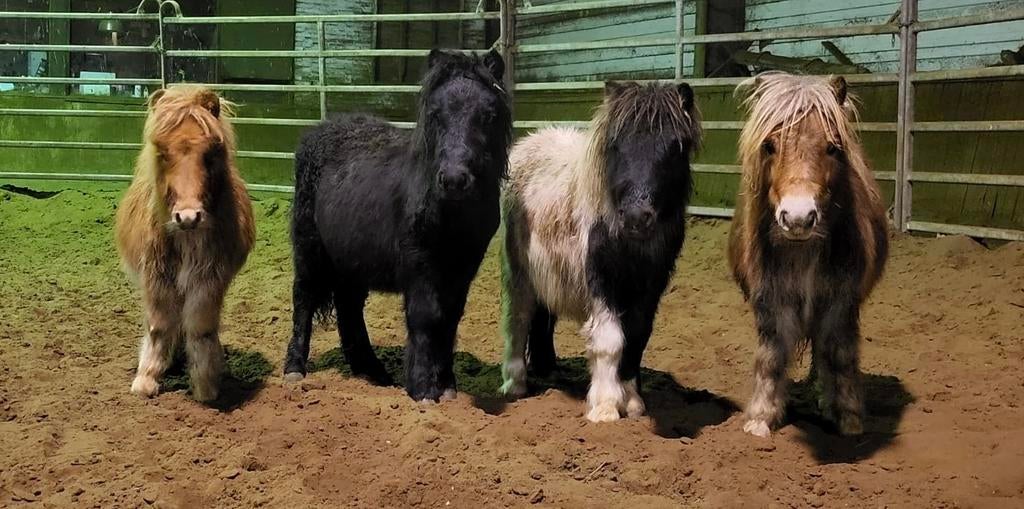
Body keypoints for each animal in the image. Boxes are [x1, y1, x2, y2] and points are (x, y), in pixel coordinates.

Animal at [116, 85, 255, 403]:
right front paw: (147, 378)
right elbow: (159, 325)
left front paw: (205, 382)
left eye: (210, 153)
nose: (188, 216)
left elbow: (200, 326)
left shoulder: (210, 276)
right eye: (163, 152)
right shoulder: (156, 275)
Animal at [282, 49, 511, 402]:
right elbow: (426, 316)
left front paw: (447, 386)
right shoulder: (418, 264)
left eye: (488, 115)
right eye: (435, 114)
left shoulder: (463, 268)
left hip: (351, 259)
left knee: (349, 309)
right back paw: (295, 369)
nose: (454, 180)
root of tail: (318, 131)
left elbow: (450, 320)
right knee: (304, 296)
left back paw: (371, 373)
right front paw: (424, 390)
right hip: (310, 247)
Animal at [500, 82, 702, 422]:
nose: (636, 217)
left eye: (676, 146)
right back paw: (515, 383)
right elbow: (610, 340)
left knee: (542, 316)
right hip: (520, 270)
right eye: (616, 145)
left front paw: (632, 402)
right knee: (519, 316)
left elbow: (636, 339)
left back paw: (547, 370)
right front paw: (606, 405)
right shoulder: (602, 282)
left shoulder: (649, 289)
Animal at [728, 72, 888, 437]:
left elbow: (839, 355)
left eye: (832, 148)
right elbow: (771, 356)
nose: (798, 218)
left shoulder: (840, 301)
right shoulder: (772, 298)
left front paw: (848, 416)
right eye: (769, 145)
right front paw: (761, 417)